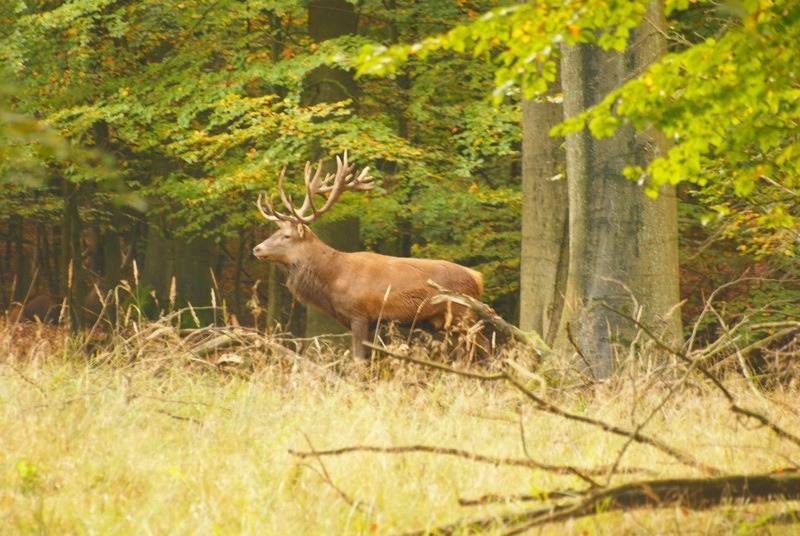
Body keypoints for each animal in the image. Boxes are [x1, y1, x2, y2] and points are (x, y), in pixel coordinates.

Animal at [252, 150, 485, 360]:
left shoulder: (360, 314)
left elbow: (358, 360)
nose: (257, 248)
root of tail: (477, 278)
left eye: (287, 236)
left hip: (464, 314)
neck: (333, 280)